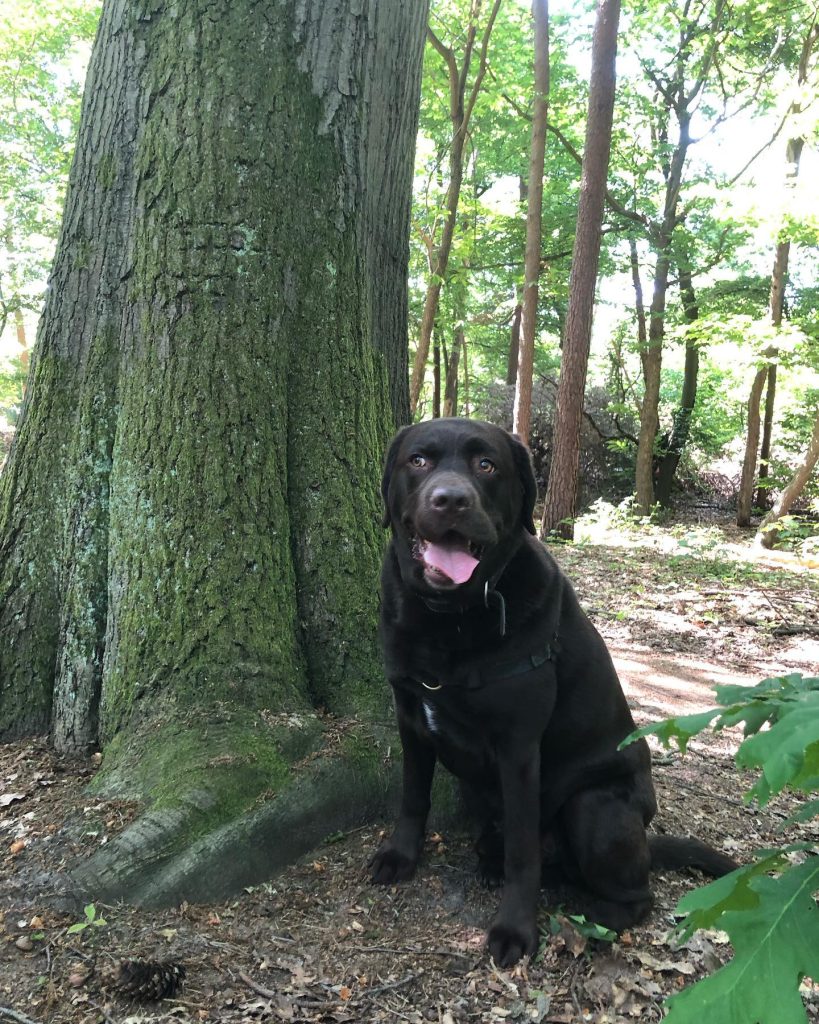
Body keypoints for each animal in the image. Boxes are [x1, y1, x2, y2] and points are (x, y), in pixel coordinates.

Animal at [370, 417, 737, 966]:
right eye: (418, 460)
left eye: (486, 464)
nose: (451, 500)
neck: (450, 620)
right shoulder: (411, 716)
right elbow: (413, 798)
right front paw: (399, 856)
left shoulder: (519, 748)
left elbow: (524, 853)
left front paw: (515, 929)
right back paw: (491, 863)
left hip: (595, 809)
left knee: (636, 894)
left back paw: (592, 919)